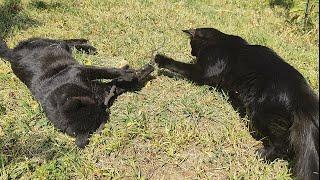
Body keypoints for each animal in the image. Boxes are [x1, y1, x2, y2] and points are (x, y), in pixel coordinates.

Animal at [0, 37, 154, 148]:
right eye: (100, 108)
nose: (105, 105)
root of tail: (11, 53)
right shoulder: (85, 73)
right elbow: (112, 75)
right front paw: (131, 75)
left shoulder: (80, 70)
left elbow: (106, 71)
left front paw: (129, 73)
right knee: (63, 43)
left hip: (45, 42)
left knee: (63, 41)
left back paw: (87, 46)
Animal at [154, 27, 318, 179]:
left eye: (191, 44)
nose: (192, 53)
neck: (221, 41)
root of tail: (301, 93)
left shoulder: (203, 72)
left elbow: (180, 66)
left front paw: (160, 59)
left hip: (260, 114)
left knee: (283, 144)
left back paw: (263, 156)